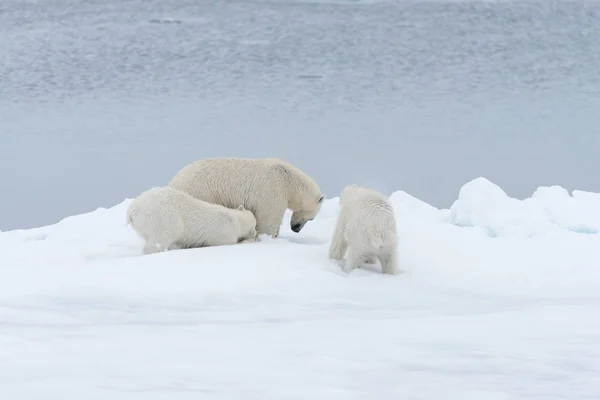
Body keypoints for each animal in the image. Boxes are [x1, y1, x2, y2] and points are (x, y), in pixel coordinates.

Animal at [125, 187, 256, 255]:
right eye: (255, 226)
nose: (255, 233)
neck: (237, 219)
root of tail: (133, 209)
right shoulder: (225, 233)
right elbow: (227, 243)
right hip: (162, 217)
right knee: (164, 235)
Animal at [166, 156, 326, 238]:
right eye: (312, 218)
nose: (295, 229)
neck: (288, 180)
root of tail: (174, 181)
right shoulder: (272, 191)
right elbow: (268, 219)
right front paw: (266, 238)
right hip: (201, 191)